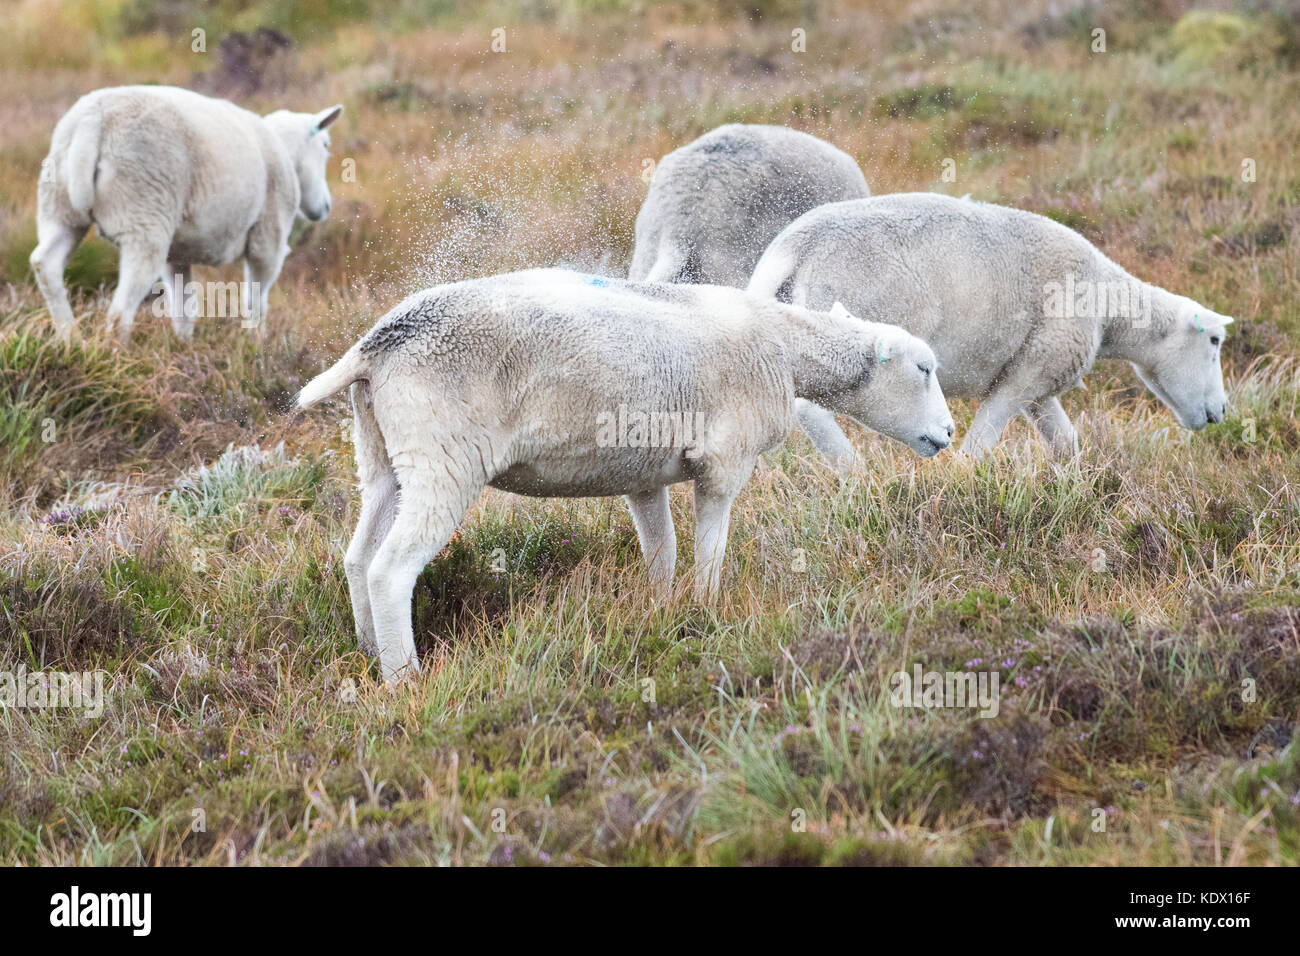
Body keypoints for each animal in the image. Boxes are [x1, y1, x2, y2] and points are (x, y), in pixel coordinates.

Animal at [29, 85, 343, 345]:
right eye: (326, 145)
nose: (326, 206)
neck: (287, 153)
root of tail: (92, 121)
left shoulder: (177, 254)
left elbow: (183, 307)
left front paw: (185, 348)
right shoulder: (268, 237)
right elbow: (256, 302)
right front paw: (258, 346)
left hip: (59, 206)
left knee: (46, 263)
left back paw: (70, 340)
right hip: (144, 216)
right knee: (120, 313)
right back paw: (114, 356)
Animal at [296, 268, 954, 684]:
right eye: (924, 368)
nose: (947, 434)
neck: (786, 348)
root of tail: (376, 345)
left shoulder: (646, 471)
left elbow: (661, 550)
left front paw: (661, 611)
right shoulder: (724, 458)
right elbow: (709, 548)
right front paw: (705, 609)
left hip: (381, 450)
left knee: (358, 555)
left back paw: (366, 649)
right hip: (442, 455)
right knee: (389, 569)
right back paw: (403, 677)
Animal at [748, 192, 1233, 463]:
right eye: (1214, 340)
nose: (1223, 412)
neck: (1109, 307)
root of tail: (794, 246)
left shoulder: (1041, 375)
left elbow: (1064, 440)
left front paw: (1079, 480)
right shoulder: (1036, 362)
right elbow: (987, 432)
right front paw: (966, 471)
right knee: (810, 408)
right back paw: (851, 468)